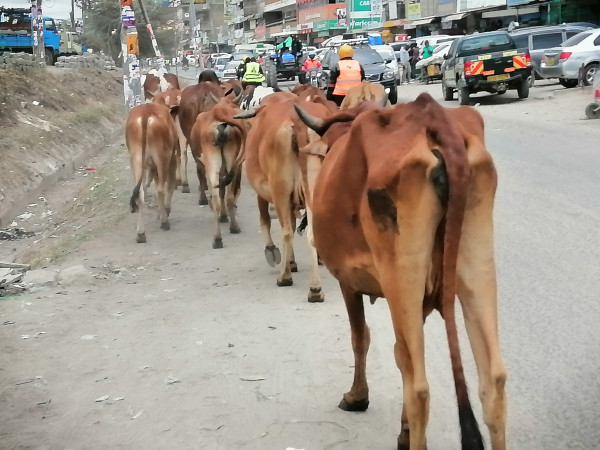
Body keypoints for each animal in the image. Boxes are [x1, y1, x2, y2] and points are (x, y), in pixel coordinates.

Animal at [123, 103, 176, 243]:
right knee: (160, 189)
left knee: (140, 194)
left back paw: (141, 234)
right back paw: (164, 222)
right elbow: (171, 184)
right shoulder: (172, 159)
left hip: (136, 159)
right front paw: (166, 210)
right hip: (162, 159)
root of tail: (146, 113)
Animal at [188, 96, 244, 248]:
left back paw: (220, 236)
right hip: (229, 164)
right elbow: (223, 192)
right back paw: (227, 231)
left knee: (216, 199)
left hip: (212, 166)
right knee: (226, 197)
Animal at [296, 93, 506, 448]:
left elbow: (361, 337)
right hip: (476, 262)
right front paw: (403, 428)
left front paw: (357, 397)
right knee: (493, 379)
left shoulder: (349, 282)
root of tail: (432, 118)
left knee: (420, 387)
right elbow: (398, 354)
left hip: (401, 274)